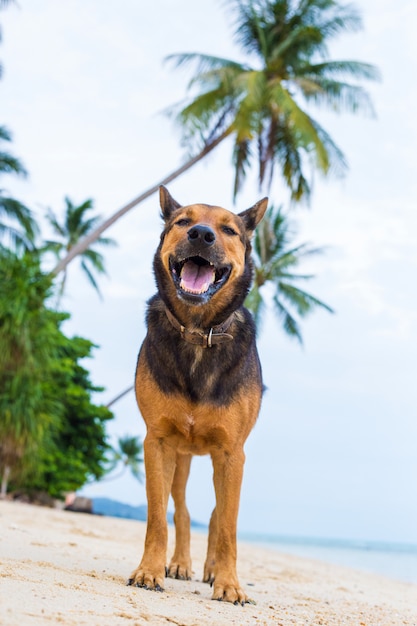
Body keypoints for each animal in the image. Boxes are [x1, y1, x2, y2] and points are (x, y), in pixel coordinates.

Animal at [127, 186, 268, 604]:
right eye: (182, 221)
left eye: (229, 230)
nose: (202, 235)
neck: (197, 331)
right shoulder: (157, 443)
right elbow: (158, 517)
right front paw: (150, 570)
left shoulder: (232, 453)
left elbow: (227, 527)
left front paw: (228, 583)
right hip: (181, 457)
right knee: (183, 511)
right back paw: (179, 564)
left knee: (218, 516)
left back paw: (210, 570)